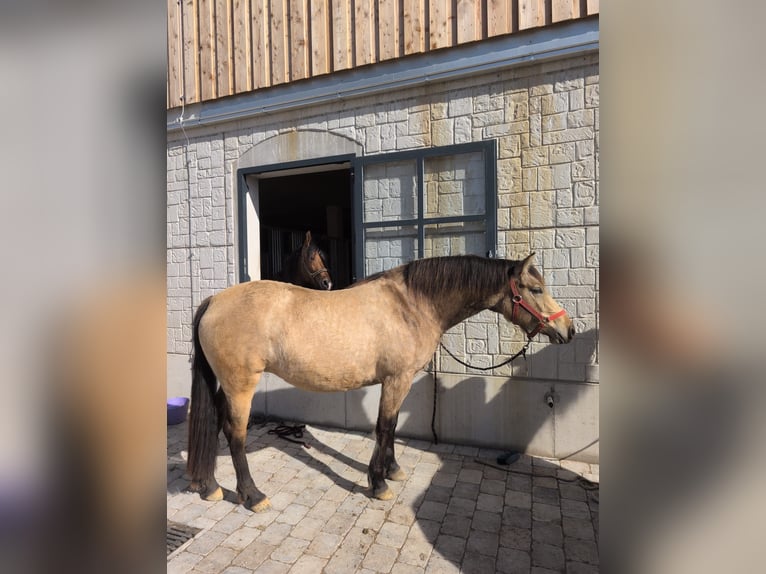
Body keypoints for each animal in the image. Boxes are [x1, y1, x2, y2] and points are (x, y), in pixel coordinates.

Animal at [187, 253, 574, 512]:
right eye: (535, 288)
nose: (567, 330)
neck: (412, 304)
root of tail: (214, 301)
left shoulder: (398, 381)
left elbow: (391, 426)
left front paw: (393, 470)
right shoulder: (396, 379)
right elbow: (384, 426)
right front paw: (379, 483)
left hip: (224, 386)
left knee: (214, 424)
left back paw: (208, 486)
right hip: (241, 386)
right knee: (235, 434)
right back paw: (252, 495)